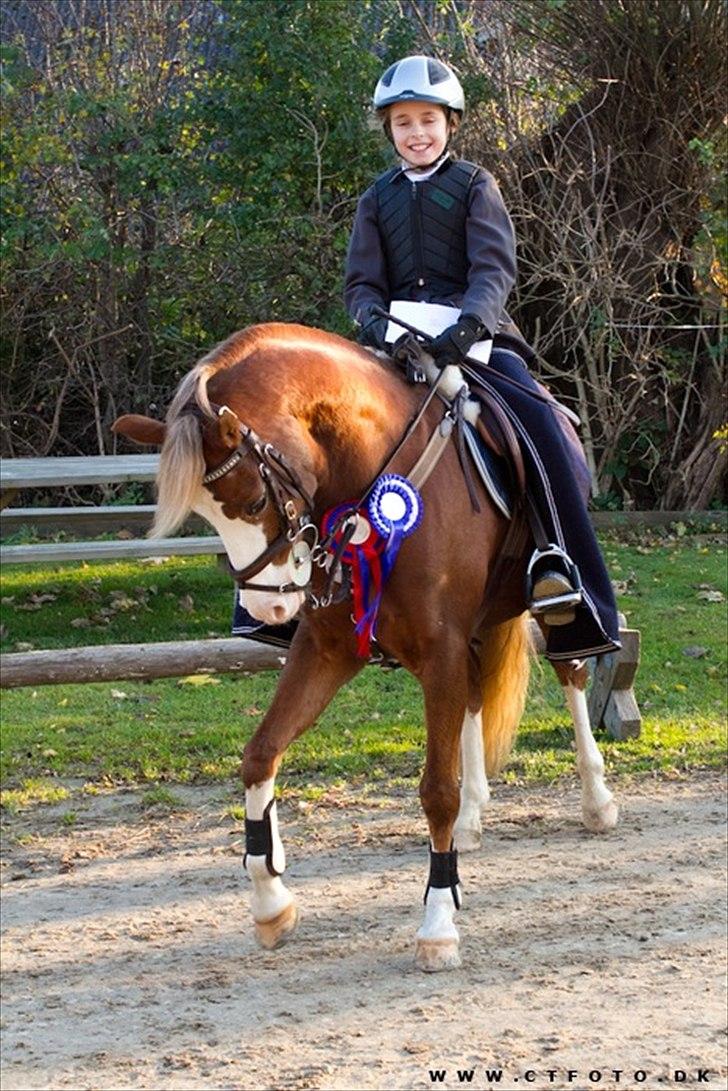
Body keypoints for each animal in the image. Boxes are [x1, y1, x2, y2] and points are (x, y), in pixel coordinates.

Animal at [114, 320, 615, 973]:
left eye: (253, 501)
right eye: (205, 517)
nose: (269, 610)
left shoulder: (438, 649)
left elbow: (435, 792)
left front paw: (438, 925)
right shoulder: (328, 651)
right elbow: (260, 754)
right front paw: (271, 901)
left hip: (556, 604)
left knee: (572, 672)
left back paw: (596, 799)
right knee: (476, 697)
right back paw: (477, 815)